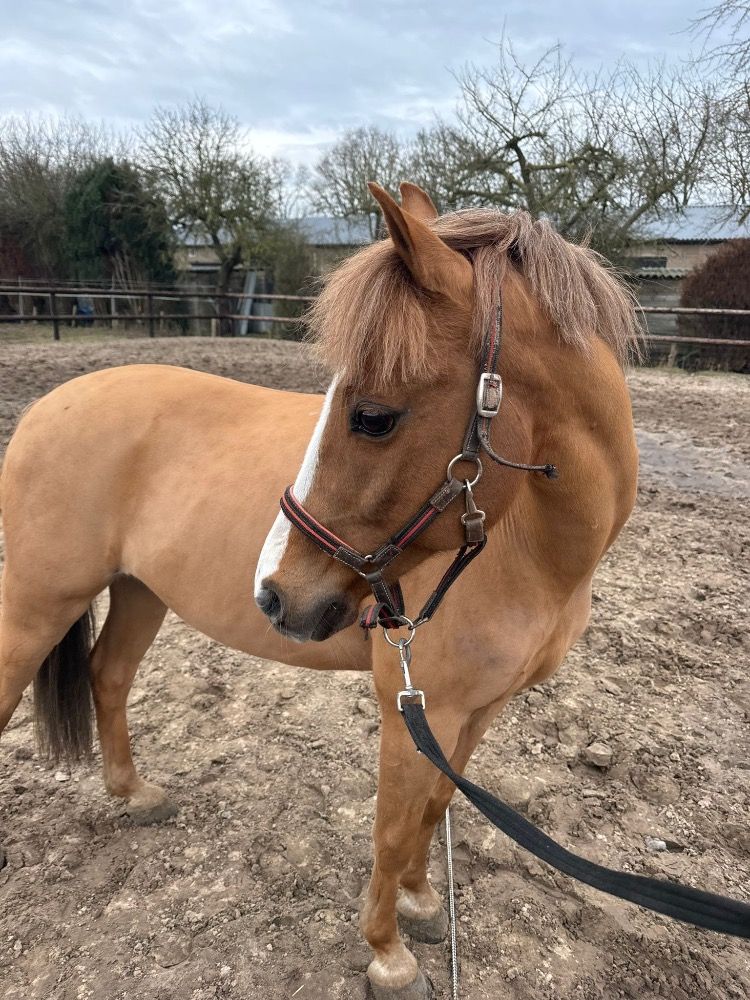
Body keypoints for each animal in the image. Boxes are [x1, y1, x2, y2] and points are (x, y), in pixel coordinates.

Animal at [0, 181, 639, 999]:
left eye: (372, 416)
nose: (273, 595)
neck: (533, 553)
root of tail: (47, 406)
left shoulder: (479, 711)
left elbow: (434, 808)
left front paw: (423, 903)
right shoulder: (412, 709)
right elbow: (393, 828)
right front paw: (388, 952)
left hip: (140, 591)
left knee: (107, 676)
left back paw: (135, 796)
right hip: (37, 604)